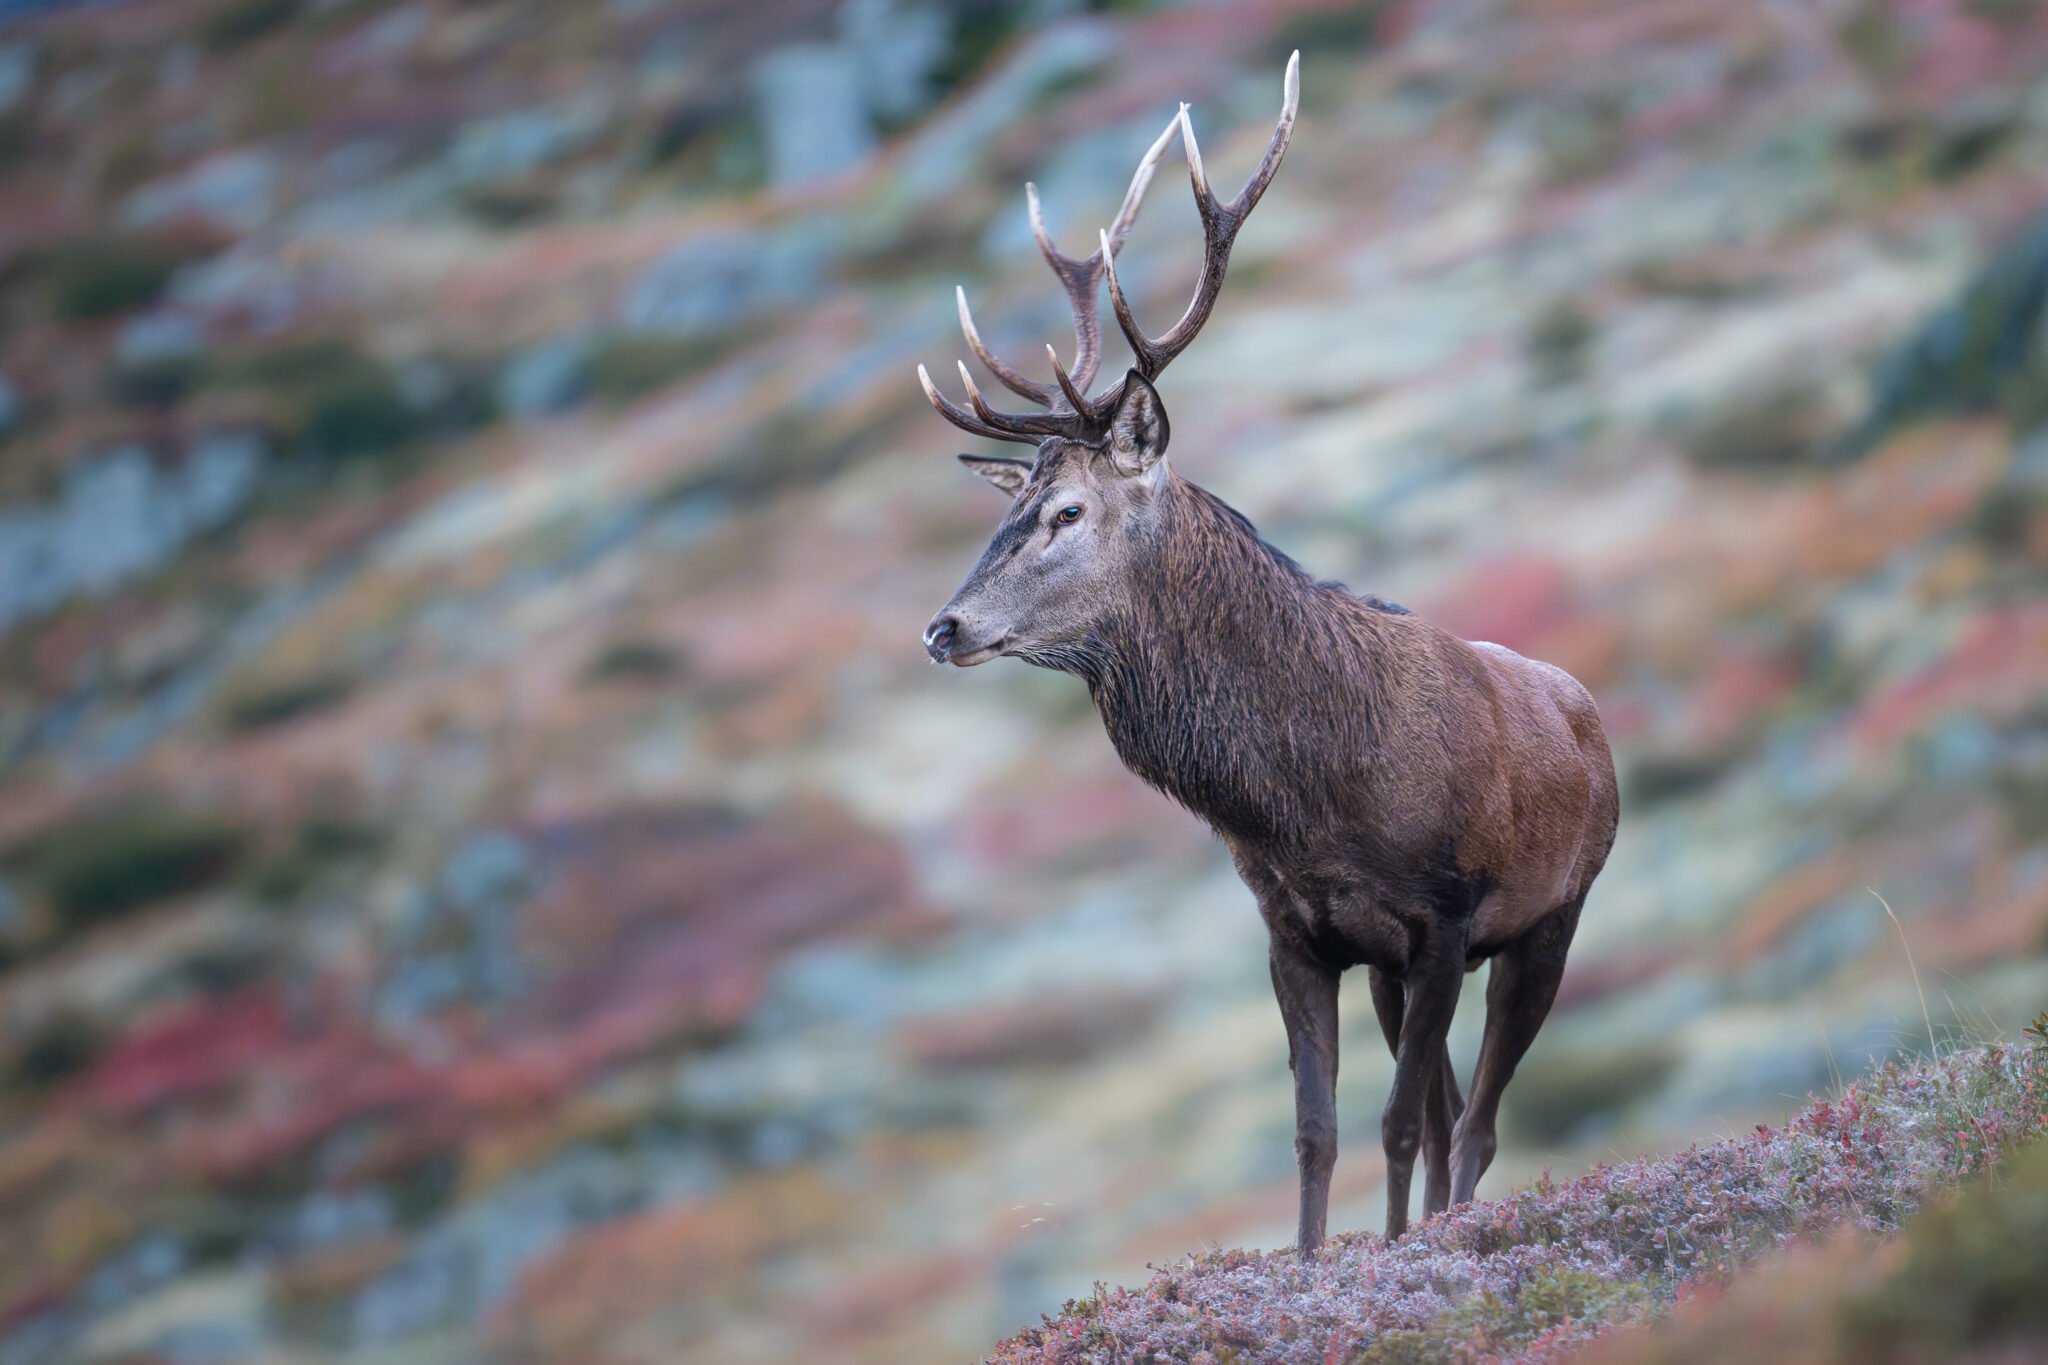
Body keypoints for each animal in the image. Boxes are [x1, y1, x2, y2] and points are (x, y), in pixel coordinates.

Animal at [916, 53, 1619, 1256]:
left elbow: (1396, 1127)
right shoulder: (1304, 935)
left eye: (1063, 512)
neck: (1302, 799)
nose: (944, 628)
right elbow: (1317, 1132)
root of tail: (1589, 715)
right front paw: (1315, 1261)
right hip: (1400, 971)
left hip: (1549, 919)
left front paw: (1397, 1259)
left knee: (1474, 1125)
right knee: (1448, 1116)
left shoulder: (1443, 917)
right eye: (1009, 511)